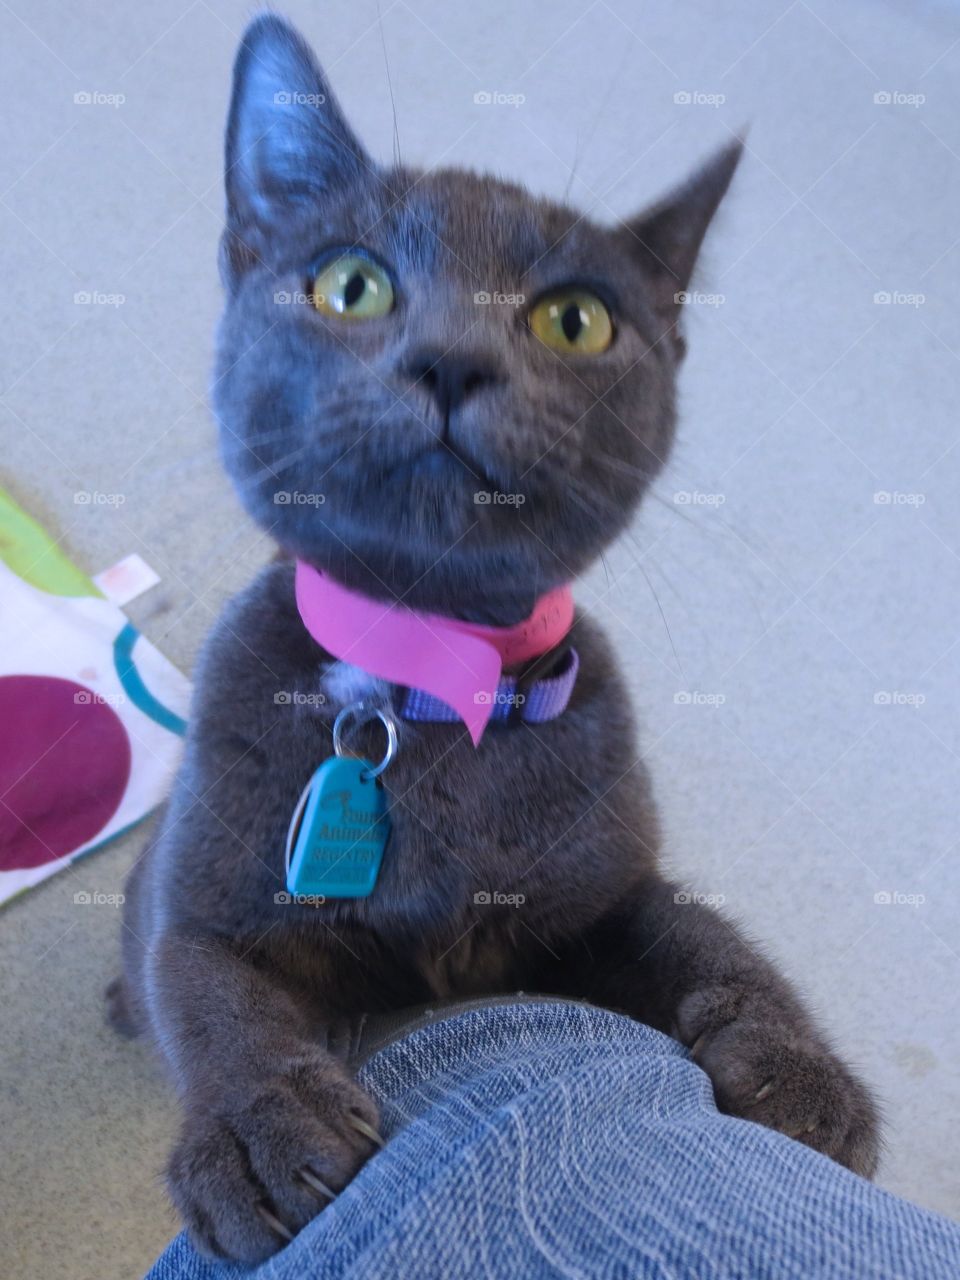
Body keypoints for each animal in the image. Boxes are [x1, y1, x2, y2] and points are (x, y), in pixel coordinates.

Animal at [108, 15, 885, 1264]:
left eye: (576, 318)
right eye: (350, 285)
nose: (451, 357)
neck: (430, 688)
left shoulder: (594, 904)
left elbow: (703, 931)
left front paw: (803, 1069)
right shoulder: (206, 895)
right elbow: (203, 980)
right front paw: (256, 1127)